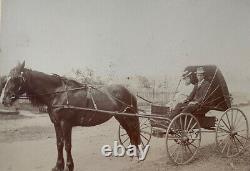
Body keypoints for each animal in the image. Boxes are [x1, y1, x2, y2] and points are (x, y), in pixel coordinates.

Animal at [1, 61, 141, 171]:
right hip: (121, 117)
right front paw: (58, 166)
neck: (58, 93)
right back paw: (133, 155)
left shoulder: (66, 124)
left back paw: (137, 156)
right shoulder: (56, 123)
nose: (4, 99)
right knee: (130, 133)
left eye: (16, 78)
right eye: (6, 79)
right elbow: (59, 144)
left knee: (133, 132)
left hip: (127, 117)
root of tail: (129, 91)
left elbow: (67, 145)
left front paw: (69, 166)